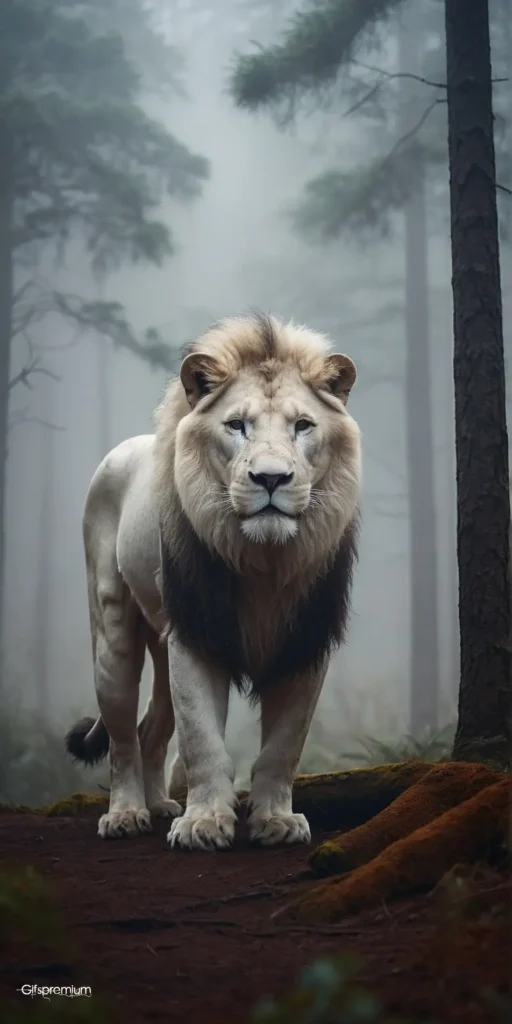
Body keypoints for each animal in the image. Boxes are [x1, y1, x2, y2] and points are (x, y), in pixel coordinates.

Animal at [66, 312, 361, 850]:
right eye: (237, 425)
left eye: (302, 426)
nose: (272, 478)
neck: (266, 561)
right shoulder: (196, 632)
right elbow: (202, 739)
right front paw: (202, 823)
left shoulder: (307, 639)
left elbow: (283, 747)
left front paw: (276, 821)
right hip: (113, 633)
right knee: (122, 738)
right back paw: (126, 815)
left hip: (161, 644)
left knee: (151, 728)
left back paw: (161, 804)